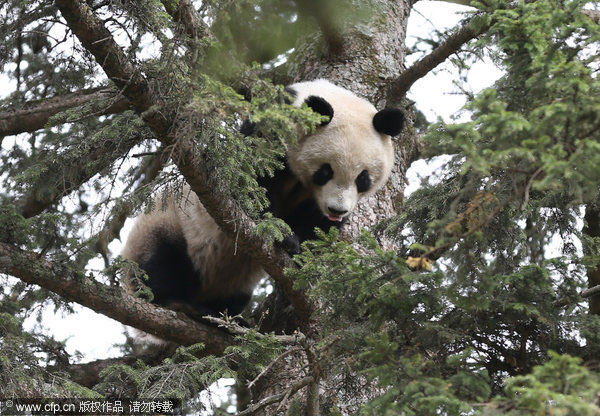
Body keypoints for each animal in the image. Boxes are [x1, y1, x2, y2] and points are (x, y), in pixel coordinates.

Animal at [121, 78, 404, 324]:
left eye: (362, 178)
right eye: (326, 171)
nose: (337, 209)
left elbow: (316, 221)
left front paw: (305, 250)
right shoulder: (269, 132)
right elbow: (252, 185)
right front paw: (284, 236)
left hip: (234, 282)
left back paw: (224, 316)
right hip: (166, 226)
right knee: (161, 263)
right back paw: (179, 303)